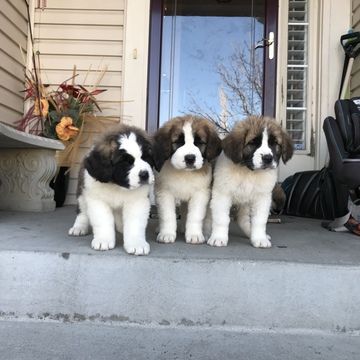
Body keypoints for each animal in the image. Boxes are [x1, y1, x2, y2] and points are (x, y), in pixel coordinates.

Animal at [69, 125, 155, 255]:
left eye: (145, 158)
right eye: (126, 162)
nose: (145, 174)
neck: (117, 185)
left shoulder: (137, 201)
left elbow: (135, 223)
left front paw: (136, 243)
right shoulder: (97, 201)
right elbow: (103, 221)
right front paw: (103, 240)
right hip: (82, 194)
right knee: (82, 211)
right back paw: (79, 227)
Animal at [153, 115, 221, 245]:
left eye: (199, 142)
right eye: (178, 142)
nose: (190, 158)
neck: (185, 173)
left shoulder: (201, 193)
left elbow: (195, 216)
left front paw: (195, 235)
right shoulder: (164, 192)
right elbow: (167, 215)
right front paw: (166, 234)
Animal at [208, 115, 292, 248]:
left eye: (274, 143)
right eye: (253, 143)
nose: (267, 158)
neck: (248, 172)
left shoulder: (262, 198)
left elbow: (259, 220)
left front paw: (260, 238)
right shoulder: (222, 195)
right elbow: (222, 219)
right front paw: (218, 237)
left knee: (243, 220)